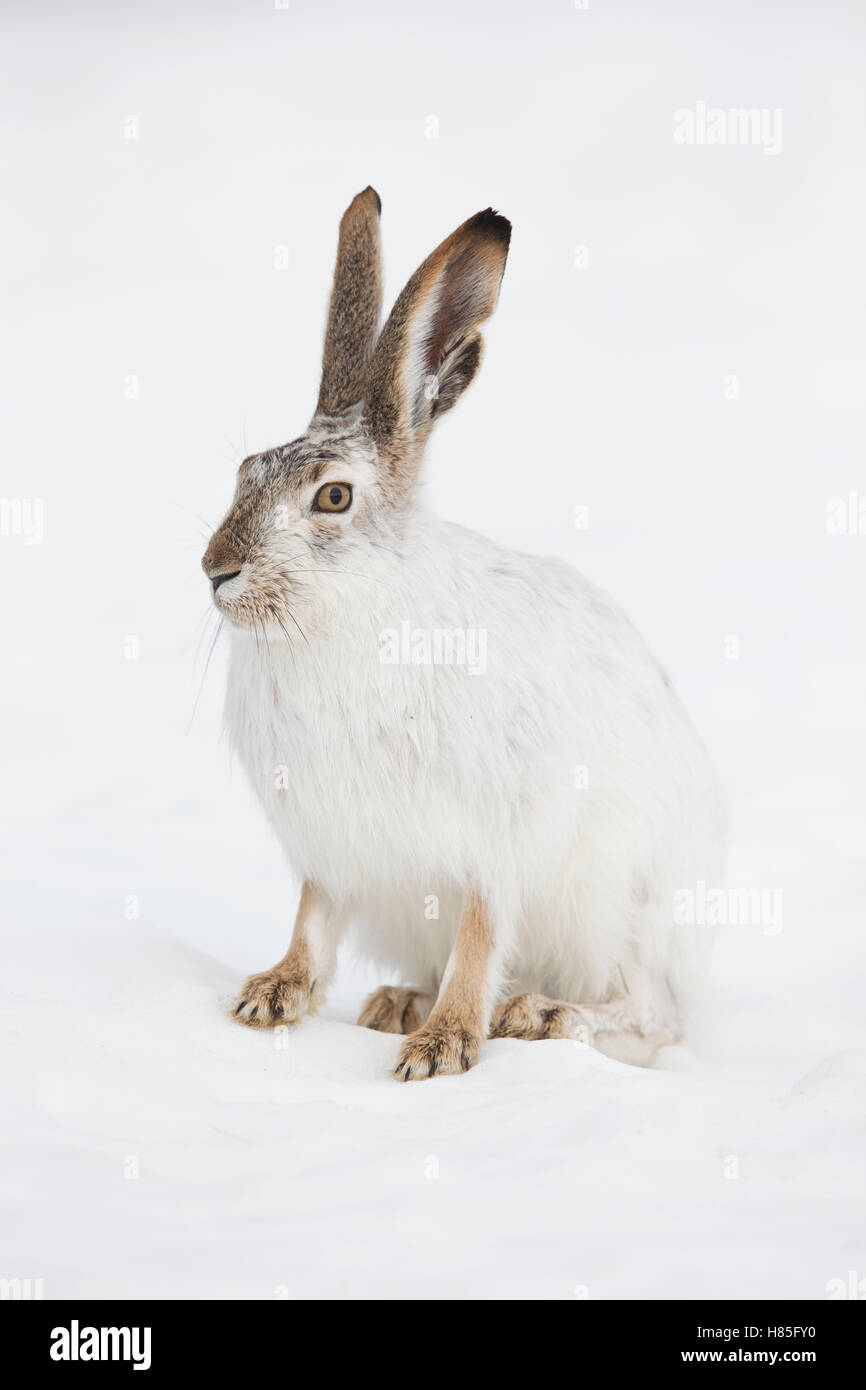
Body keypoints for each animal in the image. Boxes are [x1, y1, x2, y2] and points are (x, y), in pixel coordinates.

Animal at [201, 186, 725, 1079]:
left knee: (655, 1017)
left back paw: (544, 1015)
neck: (352, 613)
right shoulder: (330, 850)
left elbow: (480, 937)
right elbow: (313, 918)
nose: (215, 569)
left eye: (333, 498)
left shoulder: (494, 845)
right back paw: (398, 1000)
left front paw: (443, 1046)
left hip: (614, 905)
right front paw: (273, 995)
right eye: (245, 473)